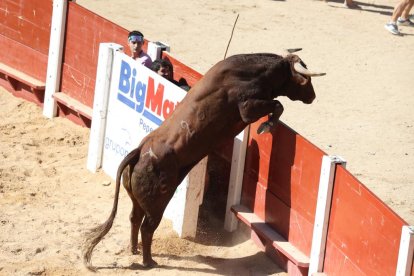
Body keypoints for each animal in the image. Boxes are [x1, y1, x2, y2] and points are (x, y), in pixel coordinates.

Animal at [82, 51, 326, 270]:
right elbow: (277, 104)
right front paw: (267, 126)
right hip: (157, 202)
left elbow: (277, 104)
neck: (256, 72)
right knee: (147, 227)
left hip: (137, 199)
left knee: (134, 218)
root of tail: (139, 151)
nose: (313, 96)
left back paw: (135, 250)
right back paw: (148, 261)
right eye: (306, 80)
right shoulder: (247, 108)